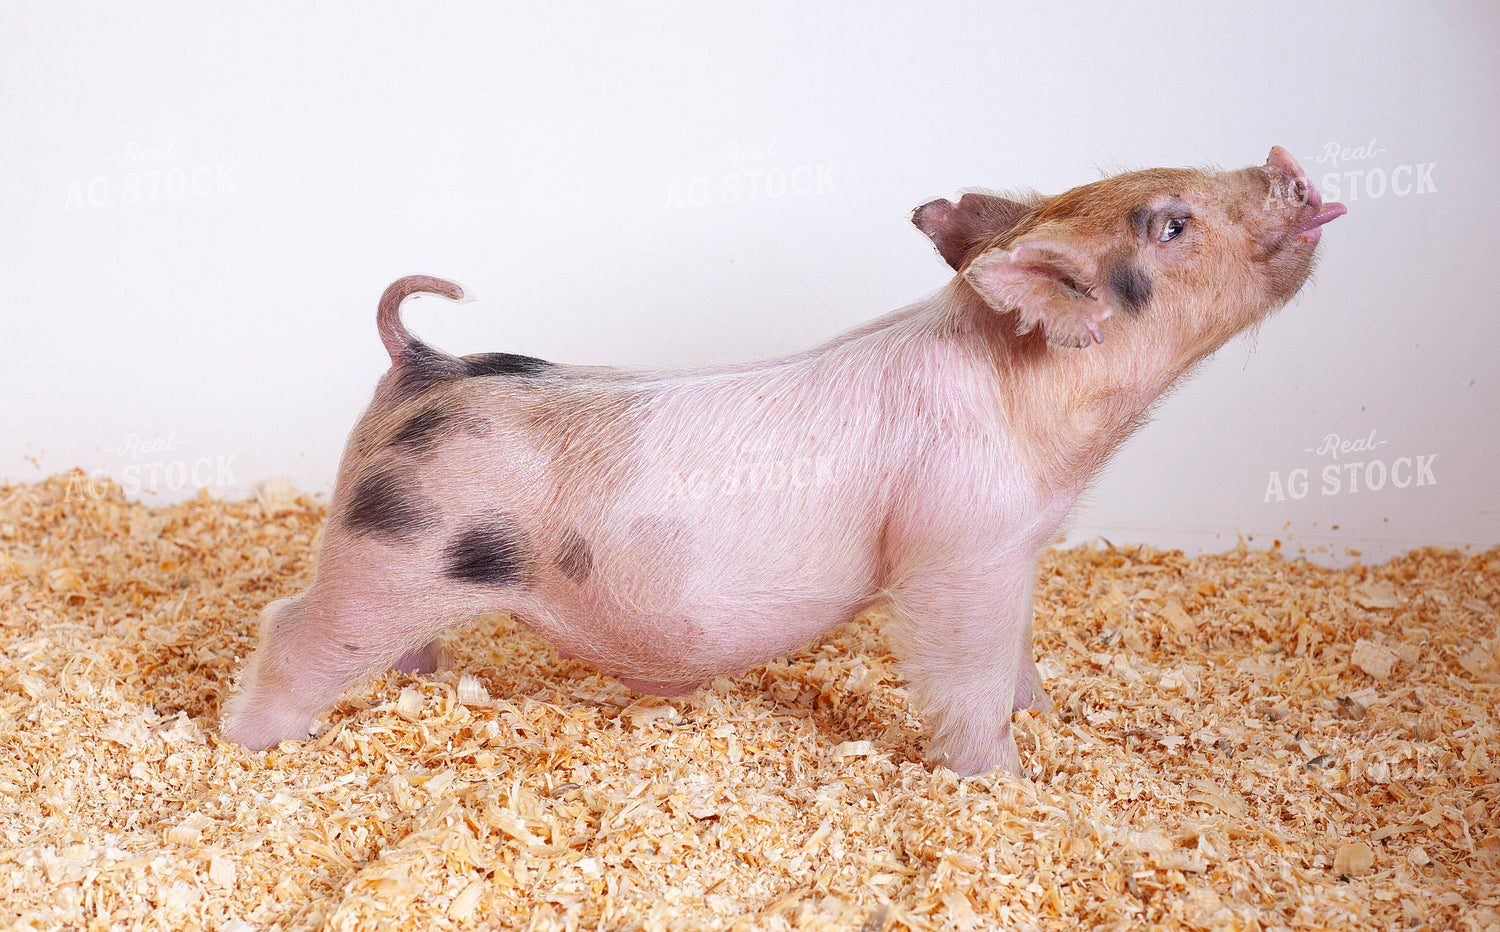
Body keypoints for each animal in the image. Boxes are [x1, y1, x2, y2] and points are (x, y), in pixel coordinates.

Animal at [223, 147, 1344, 776]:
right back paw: (250, 745)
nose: (1291, 164)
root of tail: (423, 362)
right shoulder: (960, 554)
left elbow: (1018, 653)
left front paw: (1041, 713)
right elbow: (963, 671)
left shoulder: (1018, 553)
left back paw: (416, 681)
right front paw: (1003, 778)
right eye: (1172, 223)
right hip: (385, 557)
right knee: (291, 626)